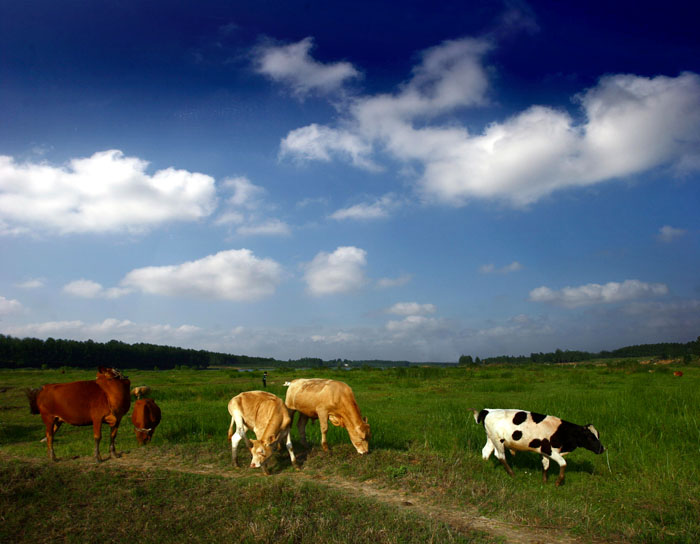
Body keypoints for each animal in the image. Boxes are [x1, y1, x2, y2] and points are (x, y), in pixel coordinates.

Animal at [474, 408, 604, 484]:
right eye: (590, 437)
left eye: (598, 435)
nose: (602, 449)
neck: (562, 431)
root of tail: (488, 410)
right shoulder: (550, 450)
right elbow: (563, 463)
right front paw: (558, 482)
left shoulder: (544, 451)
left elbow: (545, 465)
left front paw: (545, 482)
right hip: (498, 440)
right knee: (500, 456)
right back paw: (512, 474)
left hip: (491, 438)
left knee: (486, 451)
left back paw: (484, 467)